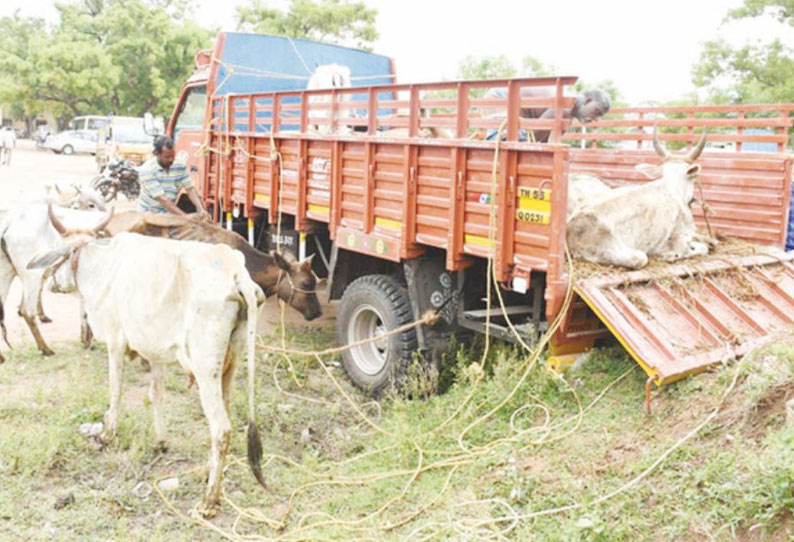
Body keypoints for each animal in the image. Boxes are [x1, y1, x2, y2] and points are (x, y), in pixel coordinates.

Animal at [564, 128, 712, 272]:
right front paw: (671, 255)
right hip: (632, 255)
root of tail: (573, 227)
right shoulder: (682, 236)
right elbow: (699, 248)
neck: (673, 186)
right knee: (641, 258)